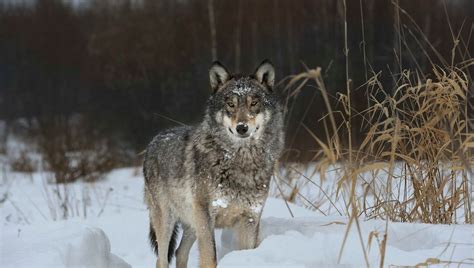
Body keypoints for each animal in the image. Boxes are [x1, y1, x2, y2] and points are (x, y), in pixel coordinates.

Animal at [143, 60, 286, 268]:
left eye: (253, 103)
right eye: (230, 104)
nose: (242, 127)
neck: (241, 161)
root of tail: (154, 141)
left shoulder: (250, 218)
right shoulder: (206, 218)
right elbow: (210, 258)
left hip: (191, 224)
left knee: (179, 253)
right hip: (167, 221)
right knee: (161, 260)